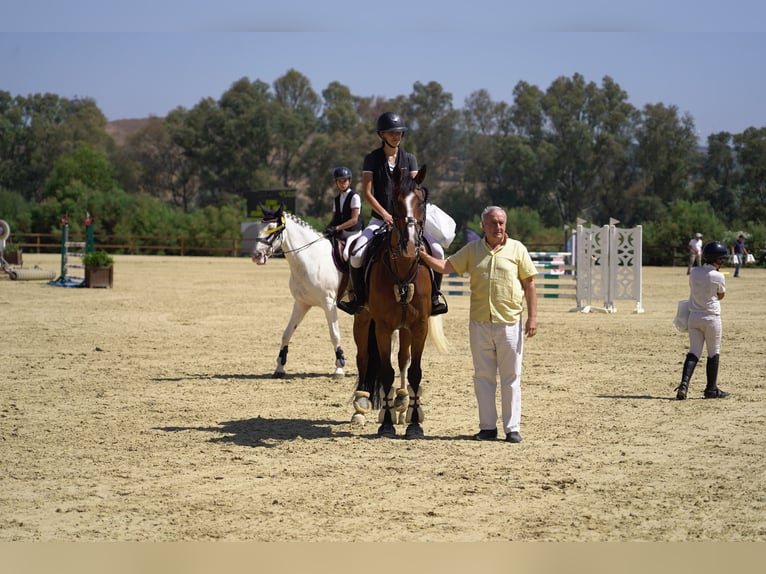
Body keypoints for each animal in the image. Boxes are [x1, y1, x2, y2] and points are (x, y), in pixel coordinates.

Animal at [251, 207, 347, 379]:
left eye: (271, 228)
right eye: (259, 227)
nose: (256, 256)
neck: (311, 259)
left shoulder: (329, 303)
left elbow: (334, 335)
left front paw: (339, 369)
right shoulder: (301, 303)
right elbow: (286, 334)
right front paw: (280, 367)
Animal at [348, 164, 448, 439]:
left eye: (421, 201)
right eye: (394, 202)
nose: (411, 245)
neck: (402, 270)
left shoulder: (419, 326)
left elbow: (414, 371)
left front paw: (414, 423)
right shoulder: (382, 327)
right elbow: (385, 371)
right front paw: (386, 424)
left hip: (404, 328)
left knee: (403, 358)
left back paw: (403, 402)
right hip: (363, 320)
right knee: (363, 358)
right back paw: (361, 405)